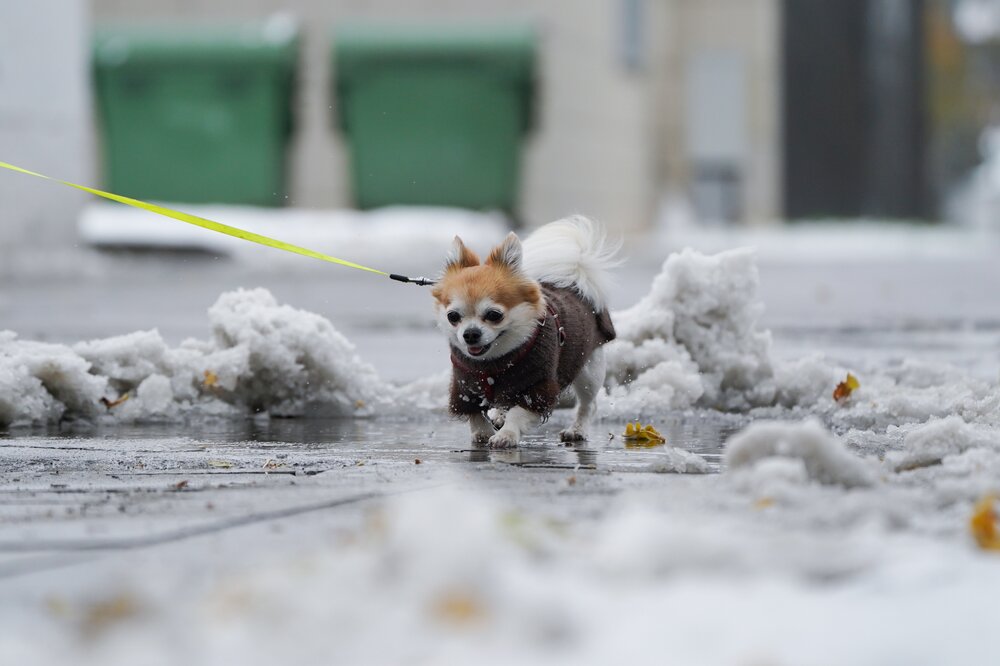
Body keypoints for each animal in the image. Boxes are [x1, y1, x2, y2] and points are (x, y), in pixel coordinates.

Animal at [432, 218, 616, 446]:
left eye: (494, 315)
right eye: (453, 316)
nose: (470, 334)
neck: (493, 362)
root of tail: (575, 282)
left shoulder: (536, 387)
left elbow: (518, 413)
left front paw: (507, 435)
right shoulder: (466, 386)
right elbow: (475, 413)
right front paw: (482, 432)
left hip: (589, 370)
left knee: (588, 404)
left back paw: (577, 430)